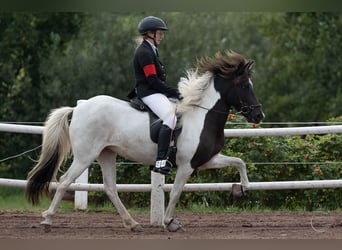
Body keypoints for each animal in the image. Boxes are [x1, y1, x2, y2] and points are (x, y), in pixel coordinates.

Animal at [26, 50, 264, 232]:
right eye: (245, 86)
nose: (259, 115)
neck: (202, 115)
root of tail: (78, 108)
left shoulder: (205, 160)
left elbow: (239, 162)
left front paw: (241, 188)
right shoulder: (187, 165)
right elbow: (176, 193)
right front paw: (170, 222)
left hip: (106, 153)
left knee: (110, 187)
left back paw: (132, 224)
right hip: (85, 156)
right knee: (65, 180)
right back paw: (47, 220)